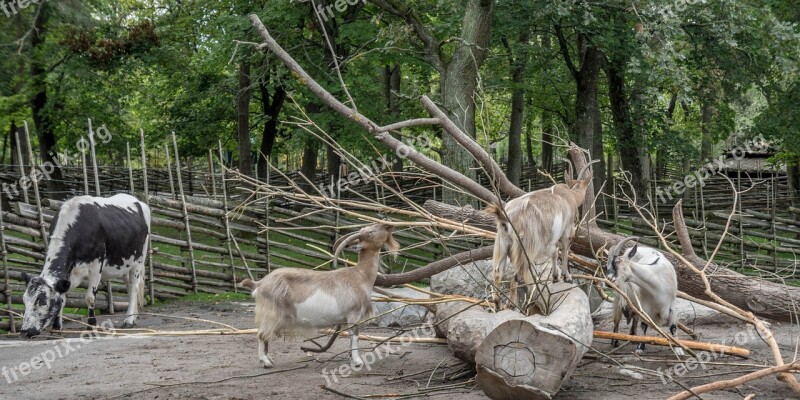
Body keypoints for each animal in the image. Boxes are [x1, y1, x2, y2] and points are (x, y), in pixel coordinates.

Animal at [19, 194, 152, 338]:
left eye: (42, 301)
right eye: (24, 300)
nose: (25, 331)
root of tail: (138, 201)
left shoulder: (96, 266)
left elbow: (90, 298)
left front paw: (92, 326)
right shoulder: (68, 274)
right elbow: (62, 298)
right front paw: (57, 327)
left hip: (138, 262)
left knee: (134, 287)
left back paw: (129, 320)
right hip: (124, 264)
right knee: (130, 287)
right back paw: (134, 316)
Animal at [239, 223, 398, 368]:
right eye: (370, 232)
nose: (388, 225)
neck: (359, 275)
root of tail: (259, 284)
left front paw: (352, 359)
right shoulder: (353, 313)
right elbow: (355, 335)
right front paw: (358, 361)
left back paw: (269, 359)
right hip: (271, 313)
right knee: (261, 335)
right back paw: (265, 361)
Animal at [482, 161, 592, 310]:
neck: (569, 195)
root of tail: (507, 218)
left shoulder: (549, 242)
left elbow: (554, 253)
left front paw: (555, 277)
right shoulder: (566, 231)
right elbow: (564, 251)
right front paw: (566, 277)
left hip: (501, 243)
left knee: (497, 273)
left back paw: (498, 305)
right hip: (524, 249)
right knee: (515, 277)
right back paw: (512, 305)